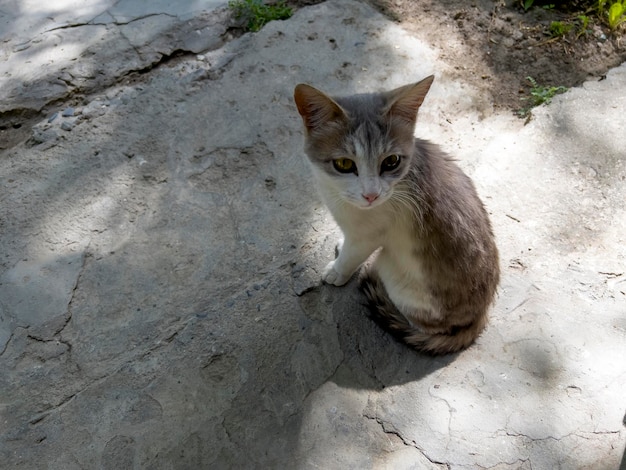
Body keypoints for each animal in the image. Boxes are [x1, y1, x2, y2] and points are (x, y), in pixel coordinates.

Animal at [292, 75, 498, 354]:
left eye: (391, 162)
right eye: (344, 164)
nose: (371, 195)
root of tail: (481, 314)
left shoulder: (368, 236)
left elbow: (351, 256)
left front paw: (337, 271)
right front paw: (340, 247)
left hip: (396, 275)